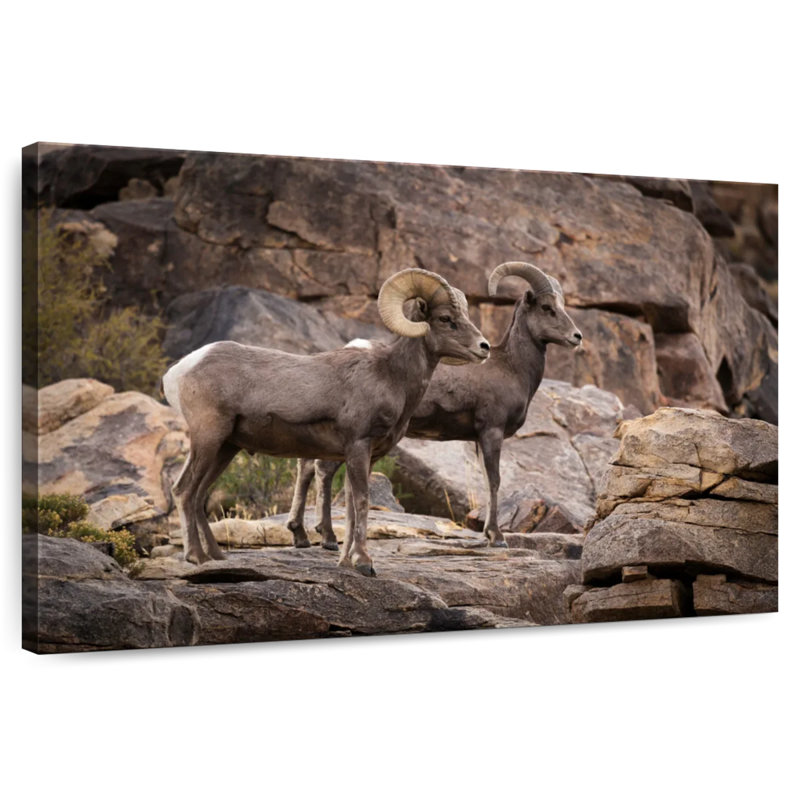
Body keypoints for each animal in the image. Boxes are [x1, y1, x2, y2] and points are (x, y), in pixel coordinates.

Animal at [162, 268, 490, 575]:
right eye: (446, 318)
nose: (484, 347)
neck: (391, 376)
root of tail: (178, 372)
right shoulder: (358, 446)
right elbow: (361, 503)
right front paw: (364, 564)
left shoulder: (364, 456)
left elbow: (351, 508)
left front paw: (345, 561)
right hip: (208, 439)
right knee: (184, 491)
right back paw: (197, 557)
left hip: (226, 448)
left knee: (199, 495)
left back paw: (217, 556)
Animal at [289, 261, 582, 548]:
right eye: (547, 308)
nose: (577, 337)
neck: (513, 367)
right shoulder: (492, 432)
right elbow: (494, 481)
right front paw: (496, 537)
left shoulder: (479, 439)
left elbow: (487, 481)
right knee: (323, 470)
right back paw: (327, 537)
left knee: (307, 466)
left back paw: (301, 534)